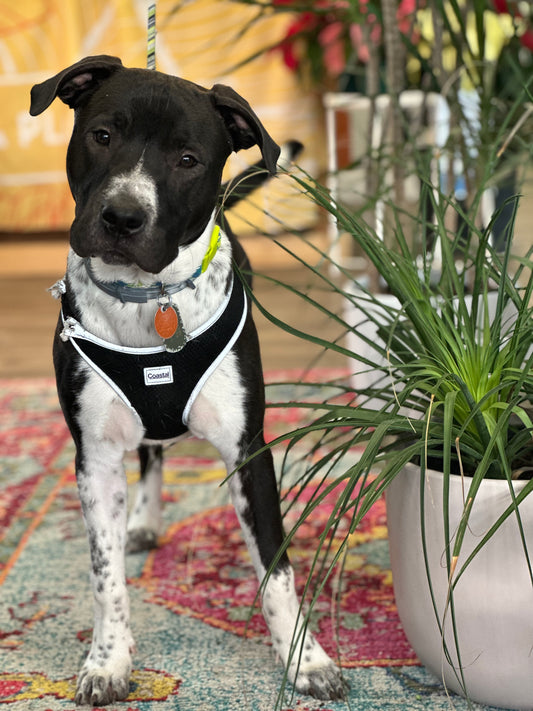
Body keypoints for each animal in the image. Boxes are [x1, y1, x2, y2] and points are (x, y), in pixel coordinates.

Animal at [30, 55, 344, 708]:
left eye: (188, 159)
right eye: (102, 135)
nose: (123, 217)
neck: (151, 301)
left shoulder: (249, 453)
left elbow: (277, 570)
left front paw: (306, 660)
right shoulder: (94, 457)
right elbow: (106, 577)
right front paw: (109, 661)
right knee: (151, 454)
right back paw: (145, 521)